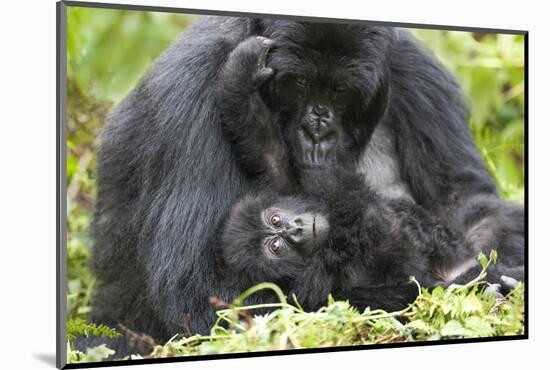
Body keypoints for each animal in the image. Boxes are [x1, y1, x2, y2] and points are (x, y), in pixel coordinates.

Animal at [88, 15, 524, 350]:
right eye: (298, 84)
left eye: (340, 90)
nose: (317, 126)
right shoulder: (192, 80)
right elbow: (202, 301)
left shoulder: (412, 65)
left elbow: (467, 202)